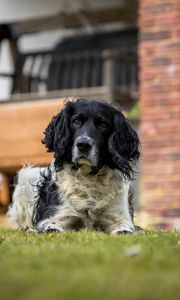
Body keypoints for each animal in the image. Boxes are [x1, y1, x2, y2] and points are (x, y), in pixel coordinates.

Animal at [8, 99, 141, 233]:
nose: (83, 144)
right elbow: (52, 227)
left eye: (103, 124)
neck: (88, 177)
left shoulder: (120, 217)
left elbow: (124, 228)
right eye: (76, 121)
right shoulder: (56, 216)